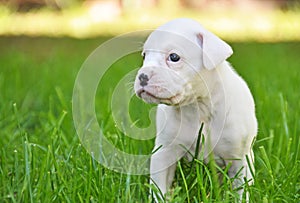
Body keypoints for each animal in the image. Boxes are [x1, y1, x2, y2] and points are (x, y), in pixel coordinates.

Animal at [135, 18, 256, 201]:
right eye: (144, 56)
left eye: (174, 57)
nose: (142, 76)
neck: (198, 107)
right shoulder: (163, 153)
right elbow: (158, 187)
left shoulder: (241, 160)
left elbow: (241, 191)